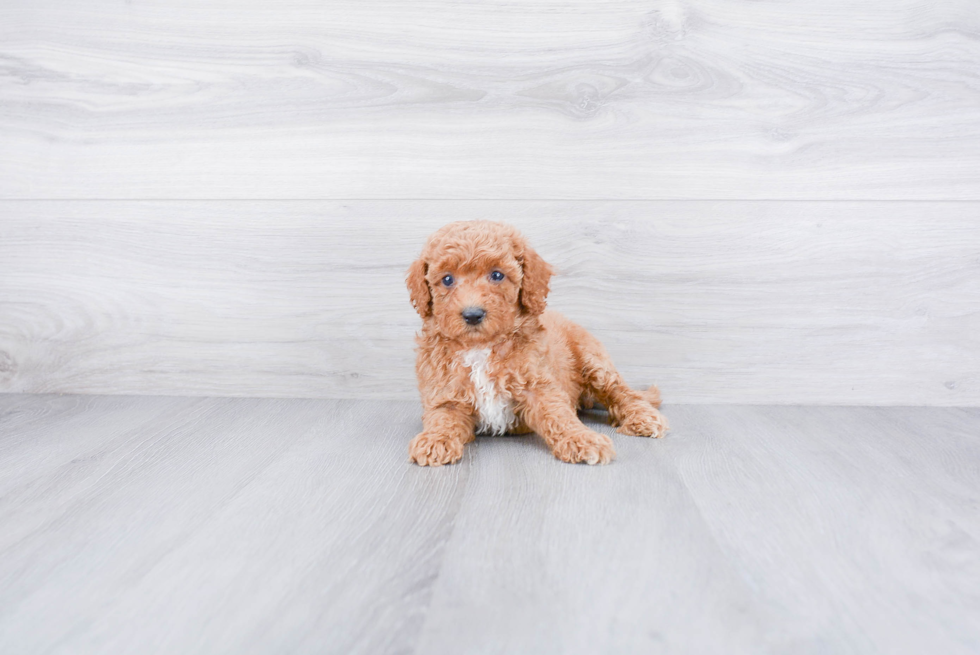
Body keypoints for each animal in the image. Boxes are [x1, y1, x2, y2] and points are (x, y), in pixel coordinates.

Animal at [404, 220, 668, 466]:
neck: (480, 347)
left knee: (622, 393)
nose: (472, 314)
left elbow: (558, 415)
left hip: (595, 363)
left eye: (497, 275)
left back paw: (643, 418)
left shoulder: (539, 385)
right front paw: (435, 440)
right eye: (447, 279)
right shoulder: (445, 394)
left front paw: (582, 439)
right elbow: (442, 418)